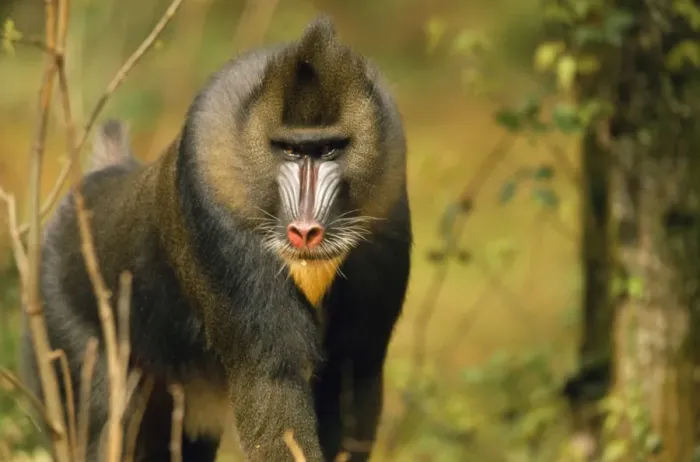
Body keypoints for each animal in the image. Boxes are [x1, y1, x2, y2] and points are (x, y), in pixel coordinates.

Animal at [19, 15, 411, 462]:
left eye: (329, 149)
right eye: (290, 151)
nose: (305, 231)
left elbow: (351, 379)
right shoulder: (221, 216)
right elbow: (271, 383)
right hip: (67, 338)